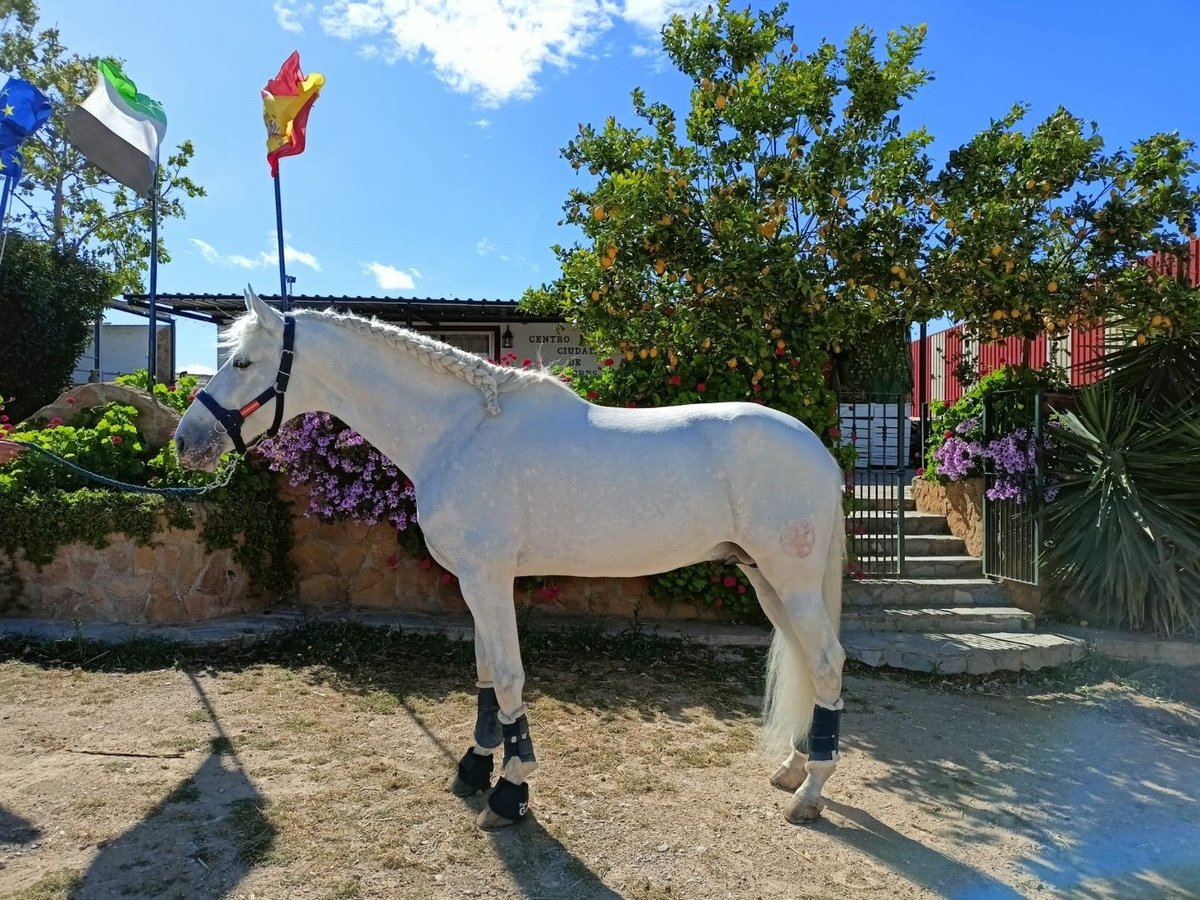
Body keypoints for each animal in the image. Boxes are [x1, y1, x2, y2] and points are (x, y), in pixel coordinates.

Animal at [174, 289, 849, 830]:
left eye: (242, 362)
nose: (186, 442)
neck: (459, 433)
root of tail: (818, 449)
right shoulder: (475, 583)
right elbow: (483, 675)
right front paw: (475, 768)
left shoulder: (490, 579)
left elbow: (507, 676)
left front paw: (511, 790)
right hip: (765, 580)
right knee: (807, 659)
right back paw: (793, 768)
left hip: (789, 579)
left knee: (826, 659)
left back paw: (811, 793)